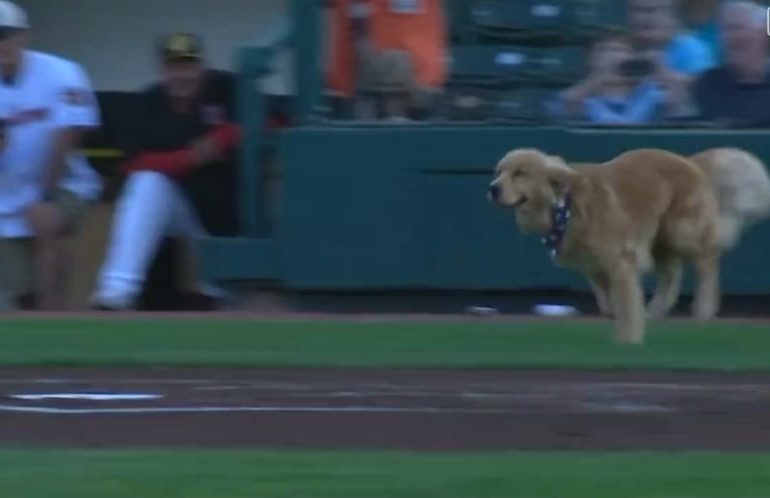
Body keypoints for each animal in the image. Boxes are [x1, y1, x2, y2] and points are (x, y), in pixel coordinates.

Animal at [486, 146, 768, 344]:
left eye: (520, 174)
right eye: (499, 172)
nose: (492, 188)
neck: (564, 205)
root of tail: (691, 162)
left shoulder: (621, 260)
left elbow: (626, 302)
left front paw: (628, 340)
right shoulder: (595, 265)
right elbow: (610, 300)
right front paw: (623, 317)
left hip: (682, 232)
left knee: (708, 261)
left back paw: (703, 308)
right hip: (661, 239)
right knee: (672, 274)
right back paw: (656, 310)